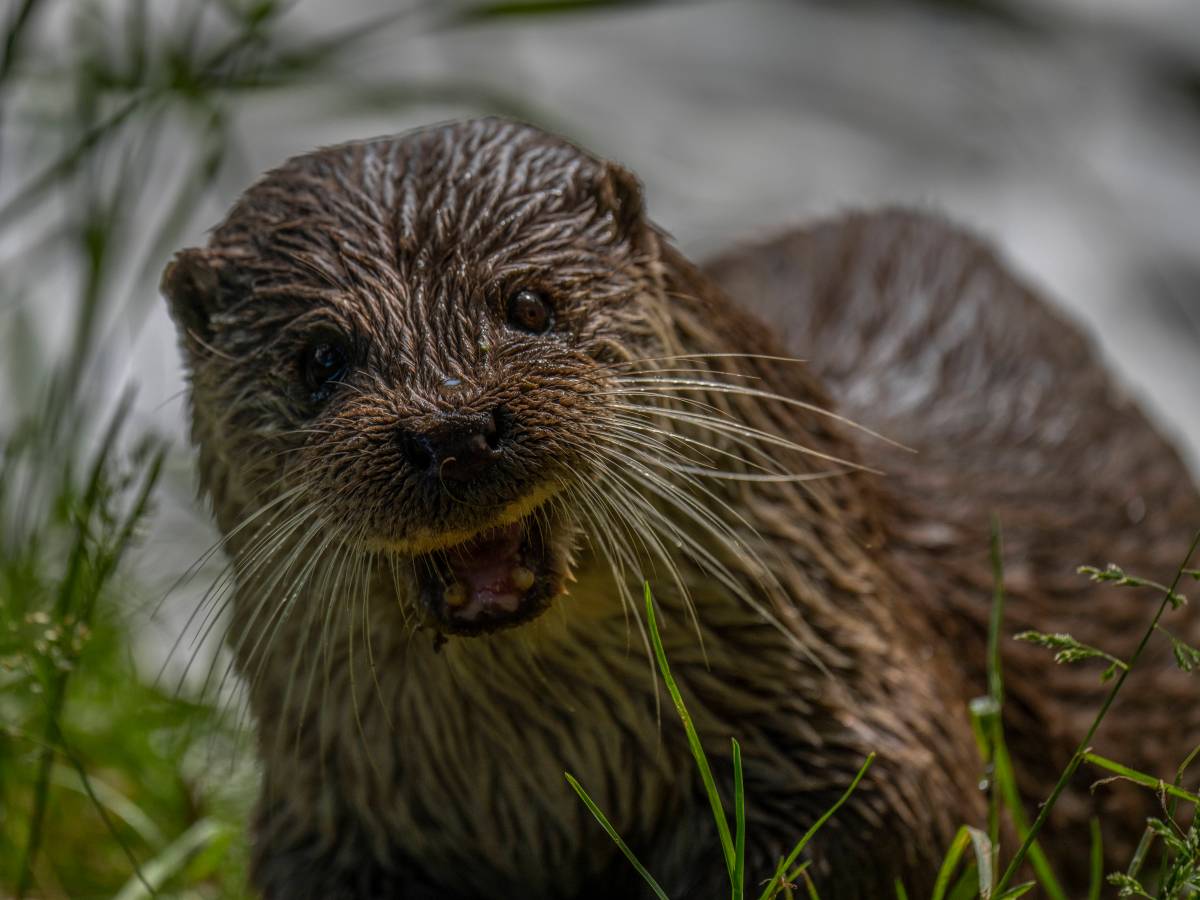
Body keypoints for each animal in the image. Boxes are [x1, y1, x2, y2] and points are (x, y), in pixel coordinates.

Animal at [162, 116, 1200, 897]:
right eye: (320, 357)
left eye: (529, 303)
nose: (451, 428)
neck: (541, 769)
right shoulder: (327, 819)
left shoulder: (875, 720)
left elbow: (895, 818)